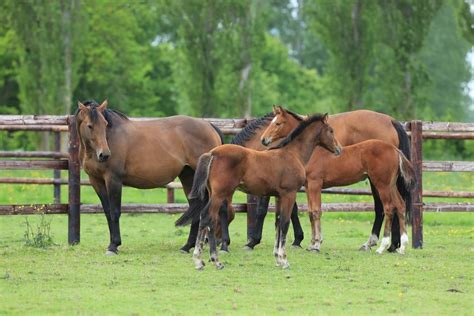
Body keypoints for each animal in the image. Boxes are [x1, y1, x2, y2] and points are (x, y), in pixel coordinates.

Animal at [75, 99, 223, 254]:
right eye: (90, 126)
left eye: (105, 124)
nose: (104, 154)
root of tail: (210, 126)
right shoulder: (96, 181)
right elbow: (108, 212)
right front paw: (112, 244)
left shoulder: (113, 180)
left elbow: (115, 211)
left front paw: (113, 246)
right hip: (189, 177)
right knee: (197, 207)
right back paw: (187, 246)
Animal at [175, 113, 340, 270]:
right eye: (331, 131)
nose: (339, 149)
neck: (292, 154)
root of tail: (212, 154)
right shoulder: (289, 194)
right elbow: (285, 222)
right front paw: (284, 260)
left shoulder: (279, 196)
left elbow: (278, 222)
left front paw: (277, 259)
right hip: (219, 194)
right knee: (207, 217)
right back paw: (210, 261)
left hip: (213, 193)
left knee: (209, 218)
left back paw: (204, 259)